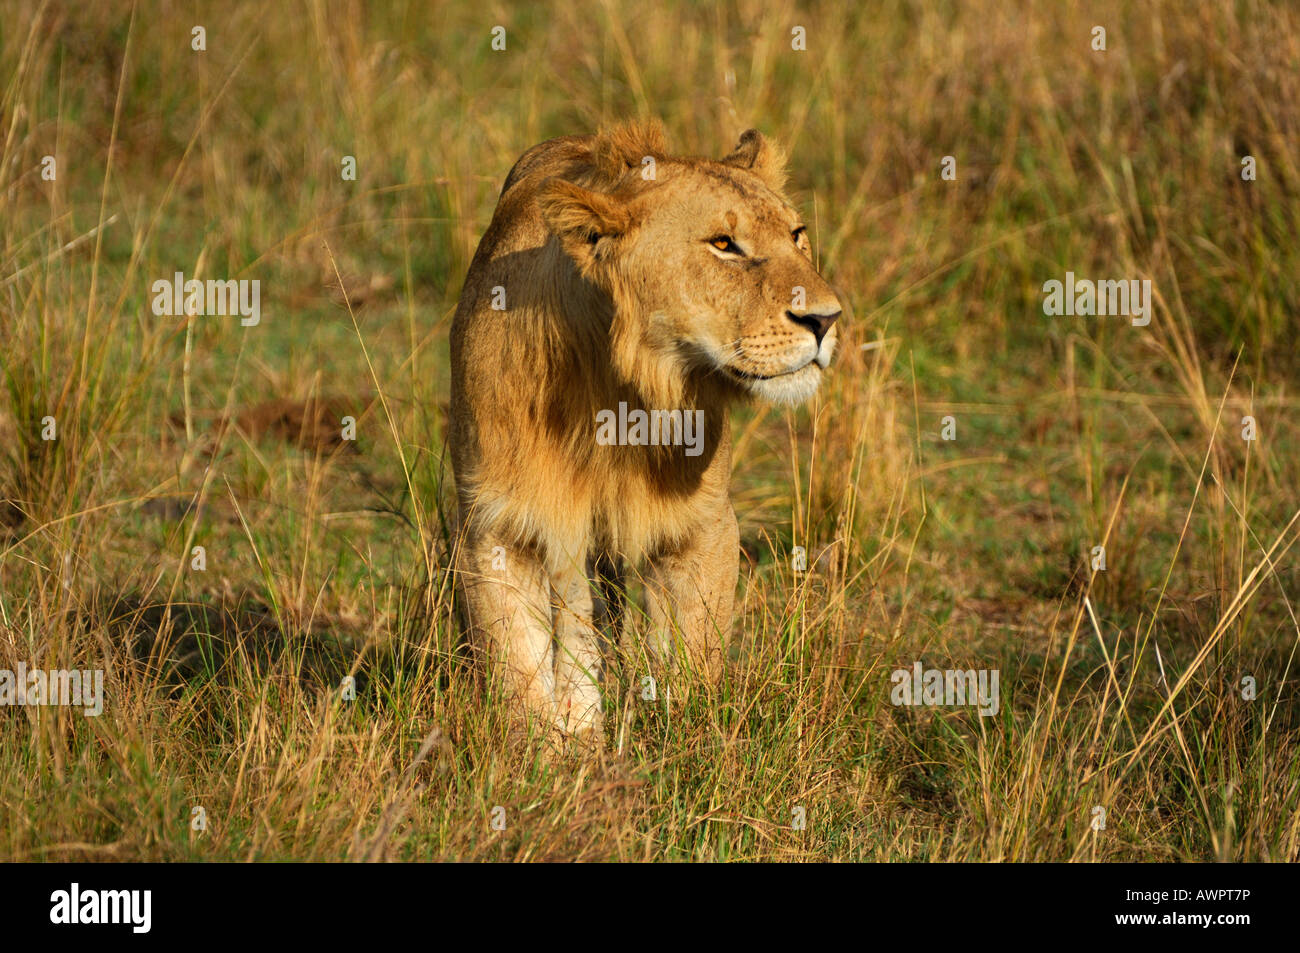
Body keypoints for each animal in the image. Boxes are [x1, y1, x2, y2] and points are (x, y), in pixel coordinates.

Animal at [449, 121, 842, 742]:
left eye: (797, 235)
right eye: (723, 245)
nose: (826, 319)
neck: (615, 388)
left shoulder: (704, 525)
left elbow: (693, 656)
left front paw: (686, 745)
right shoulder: (496, 523)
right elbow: (518, 669)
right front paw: (544, 756)